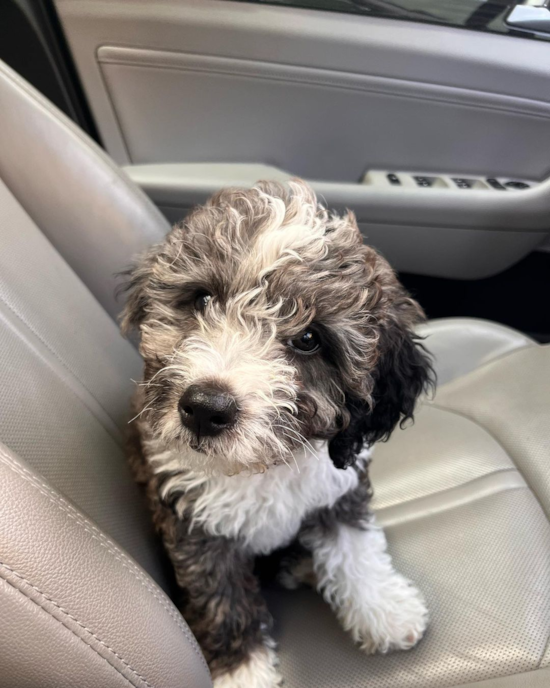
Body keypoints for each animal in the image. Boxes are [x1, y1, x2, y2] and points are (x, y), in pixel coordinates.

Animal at [123, 180, 438, 684]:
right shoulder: (192, 523)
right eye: (202, 300)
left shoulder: (339, 482)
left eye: (309, 339)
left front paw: (383, 609)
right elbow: (221, 595)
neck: (262, 465)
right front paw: (243, 670)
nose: (204, 408)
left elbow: (354, 546)